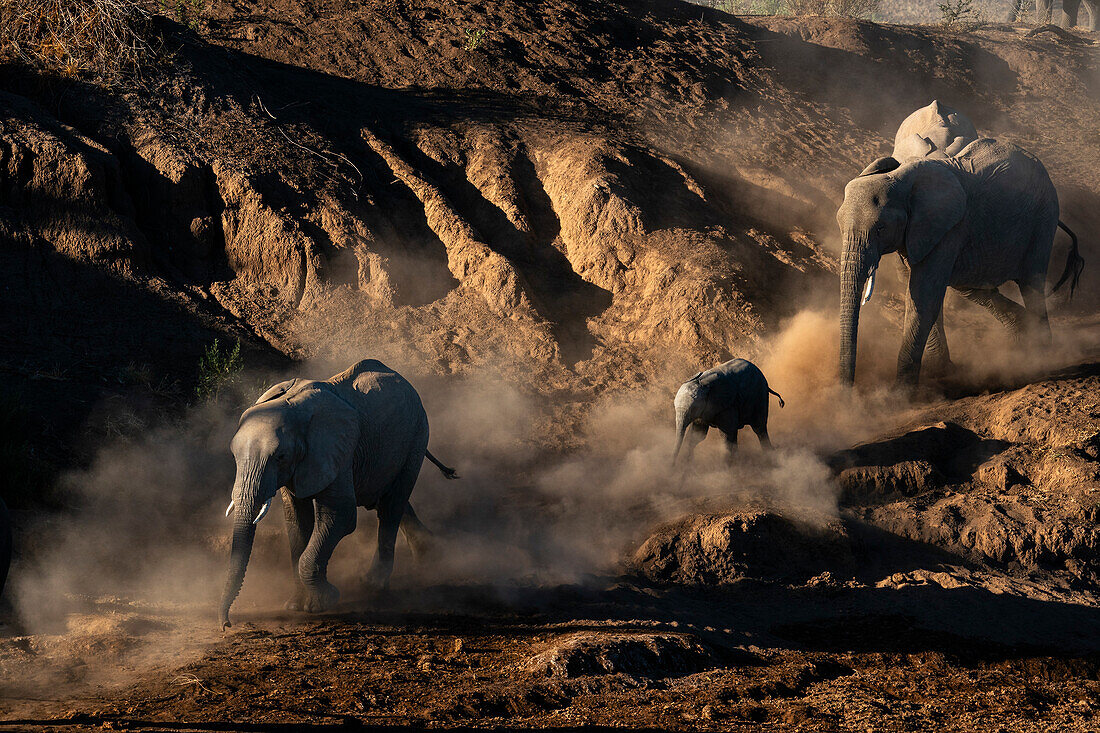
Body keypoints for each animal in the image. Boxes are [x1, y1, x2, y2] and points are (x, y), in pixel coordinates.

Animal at [216, 356, 457, 625]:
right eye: (234, 456)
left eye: (280, 456)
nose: (226, 624)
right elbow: (297, 521)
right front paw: (296, 606)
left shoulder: (337, 448)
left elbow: (341, 516)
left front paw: (326, 601)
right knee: (385, 497)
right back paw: (428, 554)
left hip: (417, 435)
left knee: (392, 505)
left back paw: (373, 585)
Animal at [840, 138, 1082, 387]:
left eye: (880, 228)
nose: (847, 389)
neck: (903, 180)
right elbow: (922, 292)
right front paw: (941, 372)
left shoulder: (947, 227)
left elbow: (923, 296)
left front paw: (901, 391)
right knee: (970, 285)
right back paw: (1021, 337)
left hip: (1043, 217)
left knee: (1032, 283)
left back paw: (1039, 354)